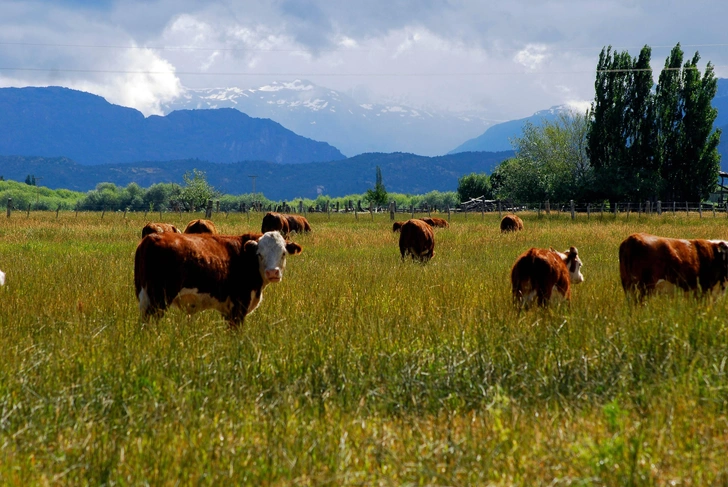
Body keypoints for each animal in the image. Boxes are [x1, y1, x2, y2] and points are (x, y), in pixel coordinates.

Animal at [135, 231, 302, 330]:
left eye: (283, 253)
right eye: (259, 254)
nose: (272, 272)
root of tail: (152, 237)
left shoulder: (228, 311)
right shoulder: (239, 306)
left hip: (145, 297)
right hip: (159, 299)